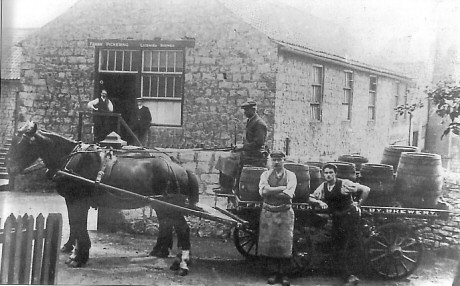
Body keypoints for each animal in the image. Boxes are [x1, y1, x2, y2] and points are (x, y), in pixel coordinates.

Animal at [5, 121, 199, 274]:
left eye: (23, 143)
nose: (10, 168)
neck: (72, 160)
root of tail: (180, 168)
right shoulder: (72, 201)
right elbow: (75, 224)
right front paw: (75, 253)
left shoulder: (79, 201)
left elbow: (79, 226)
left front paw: (79, 257)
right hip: (162, 205)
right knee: (168, 224)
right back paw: (166, 254)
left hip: (171, 205)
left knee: (182, 229)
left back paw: (182, 264)